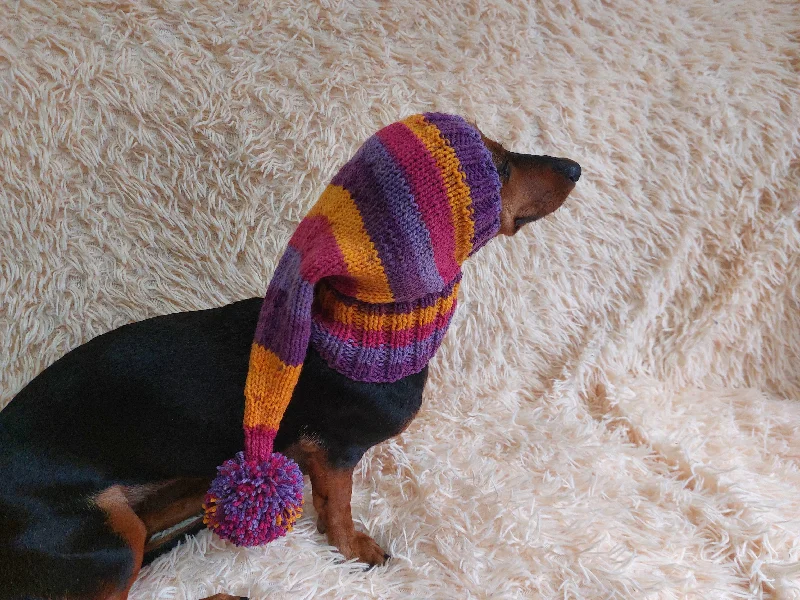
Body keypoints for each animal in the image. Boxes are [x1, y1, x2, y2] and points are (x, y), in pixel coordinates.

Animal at [0, 131, 576, 600]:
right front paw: (356, 551)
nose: (574, 167)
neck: (353, 327)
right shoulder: (336, 451)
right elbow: (338, 507)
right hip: (112, 542)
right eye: (498, 165)